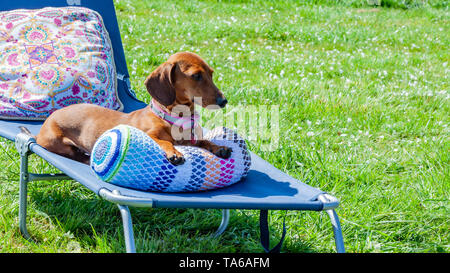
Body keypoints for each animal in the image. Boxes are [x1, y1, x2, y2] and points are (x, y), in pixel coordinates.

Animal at [34, 52, 232, 165]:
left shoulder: (192, 140)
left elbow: (204, 141)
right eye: (196, 76)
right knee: (74, 154)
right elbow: (165, 141)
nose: (223, 101)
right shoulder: (150, 134)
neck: (175, 118)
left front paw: (218, 147)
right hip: (56, 141)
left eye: (211, 74)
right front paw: (174, 152)